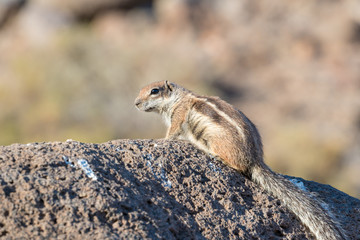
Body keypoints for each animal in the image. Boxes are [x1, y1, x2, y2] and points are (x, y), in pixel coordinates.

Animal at [134, 80, 346, 240]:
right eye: (141, 89)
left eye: (154, 91)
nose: (136, 103)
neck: (179, 98)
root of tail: (255, 159)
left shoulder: (179, 116)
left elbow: (171, 134)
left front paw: (160, 141)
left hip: (219, 143)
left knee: (238, 167)